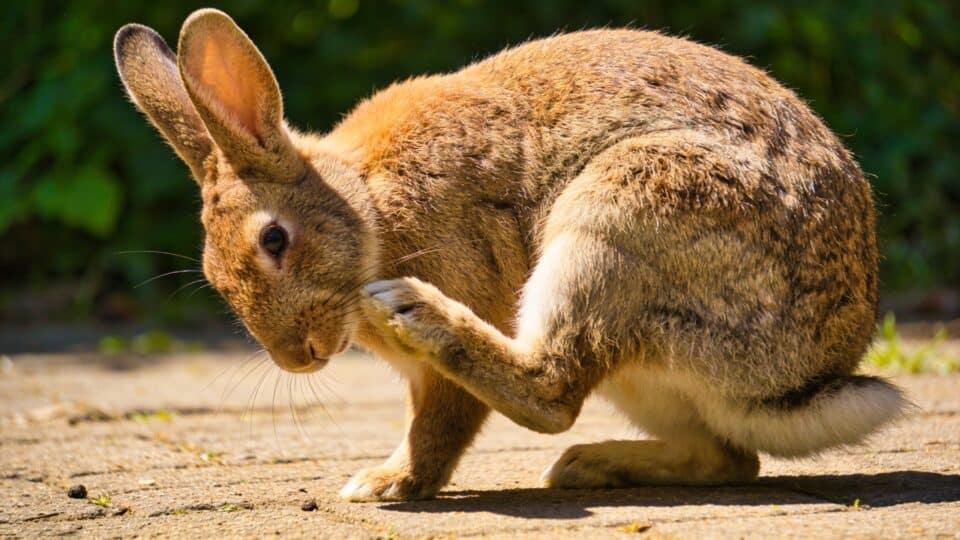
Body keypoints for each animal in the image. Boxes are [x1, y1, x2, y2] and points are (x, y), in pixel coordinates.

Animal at [114, 8, 908, 501]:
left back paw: (422, 315)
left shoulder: (469, 295)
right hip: (643, 360)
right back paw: (590, 466)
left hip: (619, 218)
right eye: (215, 277)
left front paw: (387, 484)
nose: (297, 358)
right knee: (728, 455)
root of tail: (807, 373)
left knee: (552, 391)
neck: (367, 209)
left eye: (274, 240)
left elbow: (441, 423)